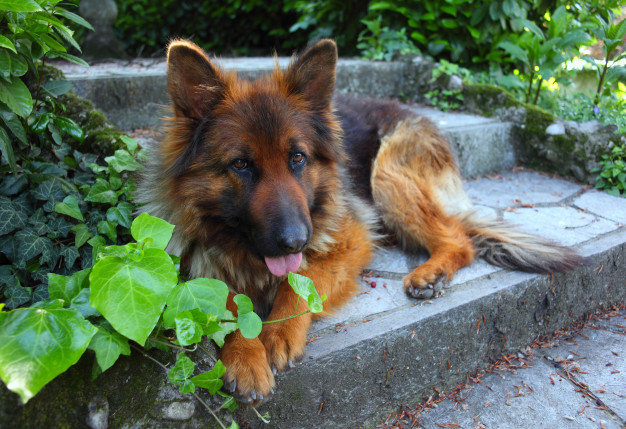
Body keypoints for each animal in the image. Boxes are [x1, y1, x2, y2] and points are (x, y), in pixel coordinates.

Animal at [136, 37, 580, 402]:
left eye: (297, 157)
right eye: (240, 165)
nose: (296, 241)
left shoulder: (349, 241)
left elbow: (302, 283)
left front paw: (276, 333)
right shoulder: (195, 265)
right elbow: (223, 302)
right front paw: (246, 355)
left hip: (388, 177)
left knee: (459, 238)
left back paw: (430, 273)